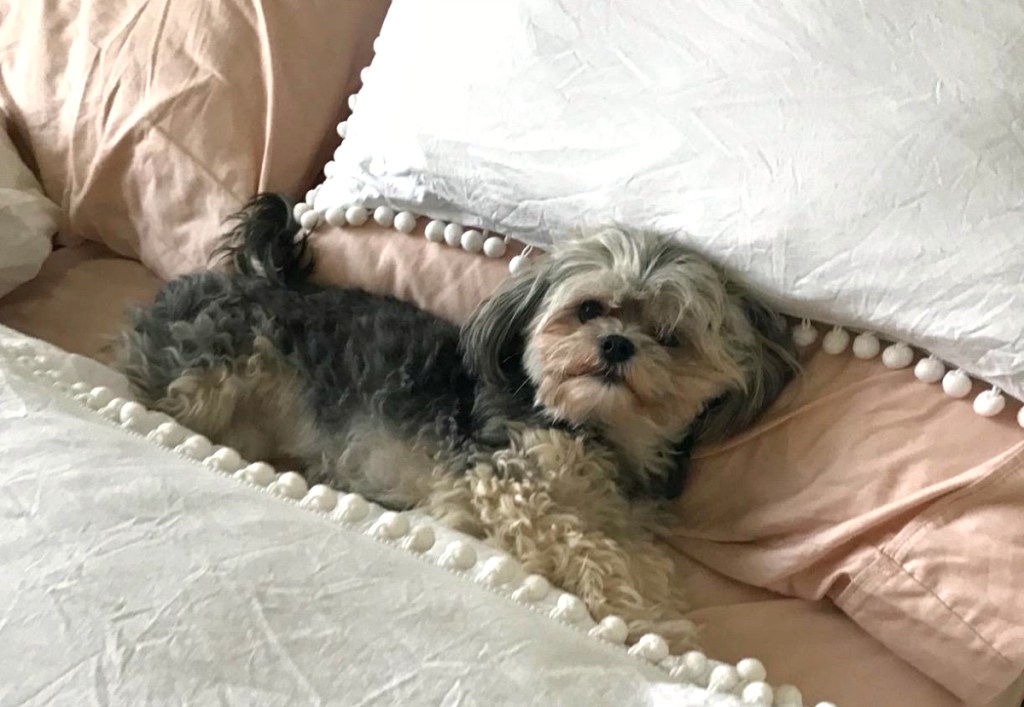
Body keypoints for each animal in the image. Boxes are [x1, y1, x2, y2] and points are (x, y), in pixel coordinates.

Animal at [116, 192, 794, 643]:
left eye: (670, 336)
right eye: (589, 309)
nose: (616, 345)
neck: (595, 430)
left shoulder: (624, 518)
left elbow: (642, 557)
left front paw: (660, 604)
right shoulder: (509, 484)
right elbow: (591, 549)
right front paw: (649, 618)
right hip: (217, 374)